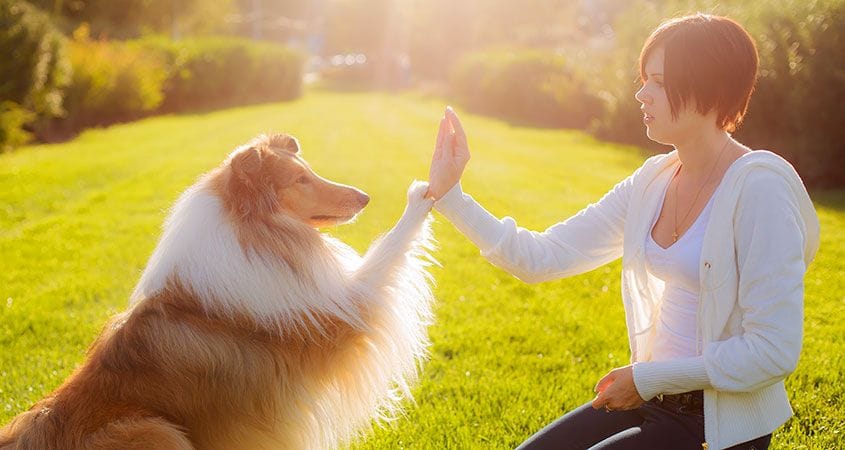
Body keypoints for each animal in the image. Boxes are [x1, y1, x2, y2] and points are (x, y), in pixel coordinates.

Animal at [0, 134, 436, 450]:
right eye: (299, 180)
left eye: (308, 171)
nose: (365, 197)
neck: (254, 235)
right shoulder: (340, 317)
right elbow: (388, 250)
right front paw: (422, 194)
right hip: (153, 429)